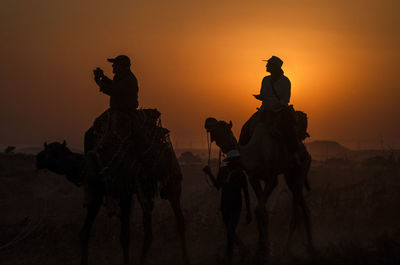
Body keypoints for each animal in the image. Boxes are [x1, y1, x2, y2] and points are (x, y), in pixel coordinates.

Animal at [36, 125, 189, 264]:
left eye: (54, 151)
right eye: (46, 148)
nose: (38, 158)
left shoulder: (125, 195)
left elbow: (125, 236)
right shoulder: (96, 196)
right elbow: (84, 233)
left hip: (172, 180)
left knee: (179, 219)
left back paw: (185, 259)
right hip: (145, 189)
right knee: (148, 229)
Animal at [205, 117, 314, 262]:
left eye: (223, 129)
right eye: (214, 131)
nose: (208, 124)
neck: (255, 153)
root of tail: (306, 151)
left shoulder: (271, 178)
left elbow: (260, 208)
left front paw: (265, 249)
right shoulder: (253, 178)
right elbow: (261, 210)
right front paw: (261, 249)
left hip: (301, 167)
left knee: (296, 210)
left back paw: (287, 250)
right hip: (290, 175)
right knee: (304, 207)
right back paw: (311, 248)